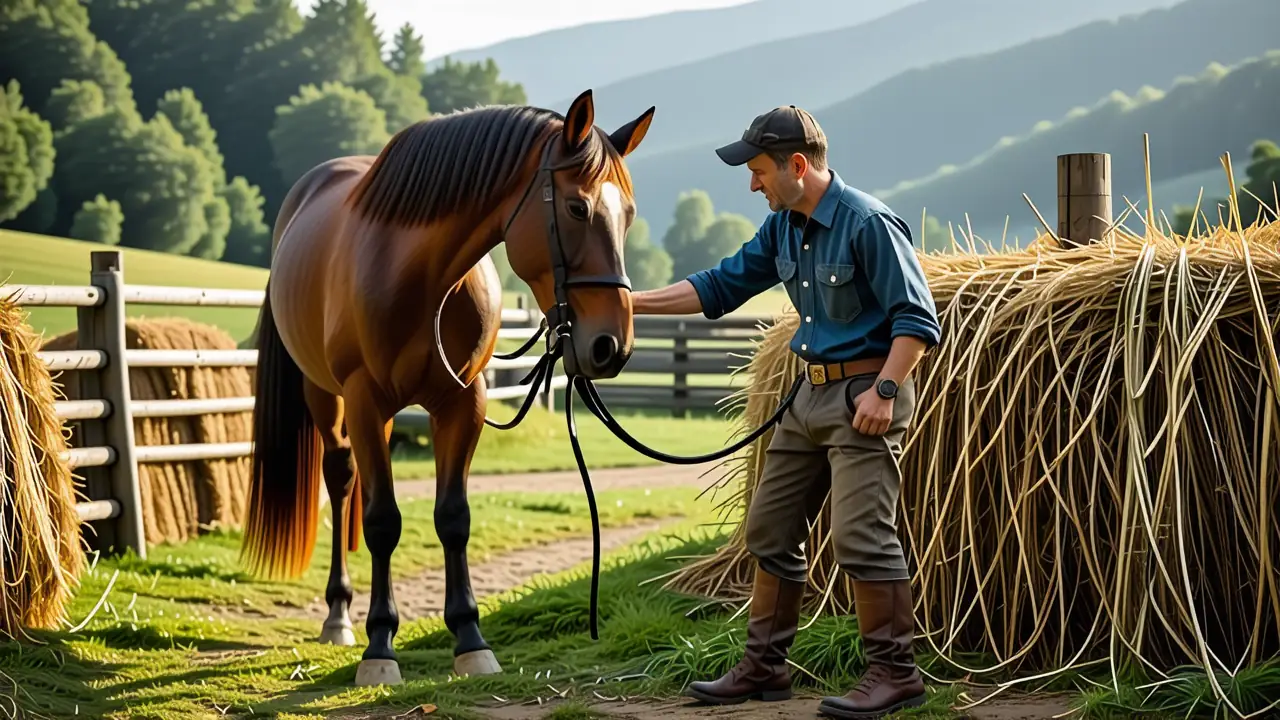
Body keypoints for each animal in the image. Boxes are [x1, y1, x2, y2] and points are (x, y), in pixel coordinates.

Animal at [237, 89, 655, 686]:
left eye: (629, 216)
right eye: (578, 208)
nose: (610, 346)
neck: (417, 277)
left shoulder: (464, 403)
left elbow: (453, 518)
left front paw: (469, 639)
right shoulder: (364, 402)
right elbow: (382, 521)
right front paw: (380, 647)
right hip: (325, 396)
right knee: (341, 480)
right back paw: (339, 615)